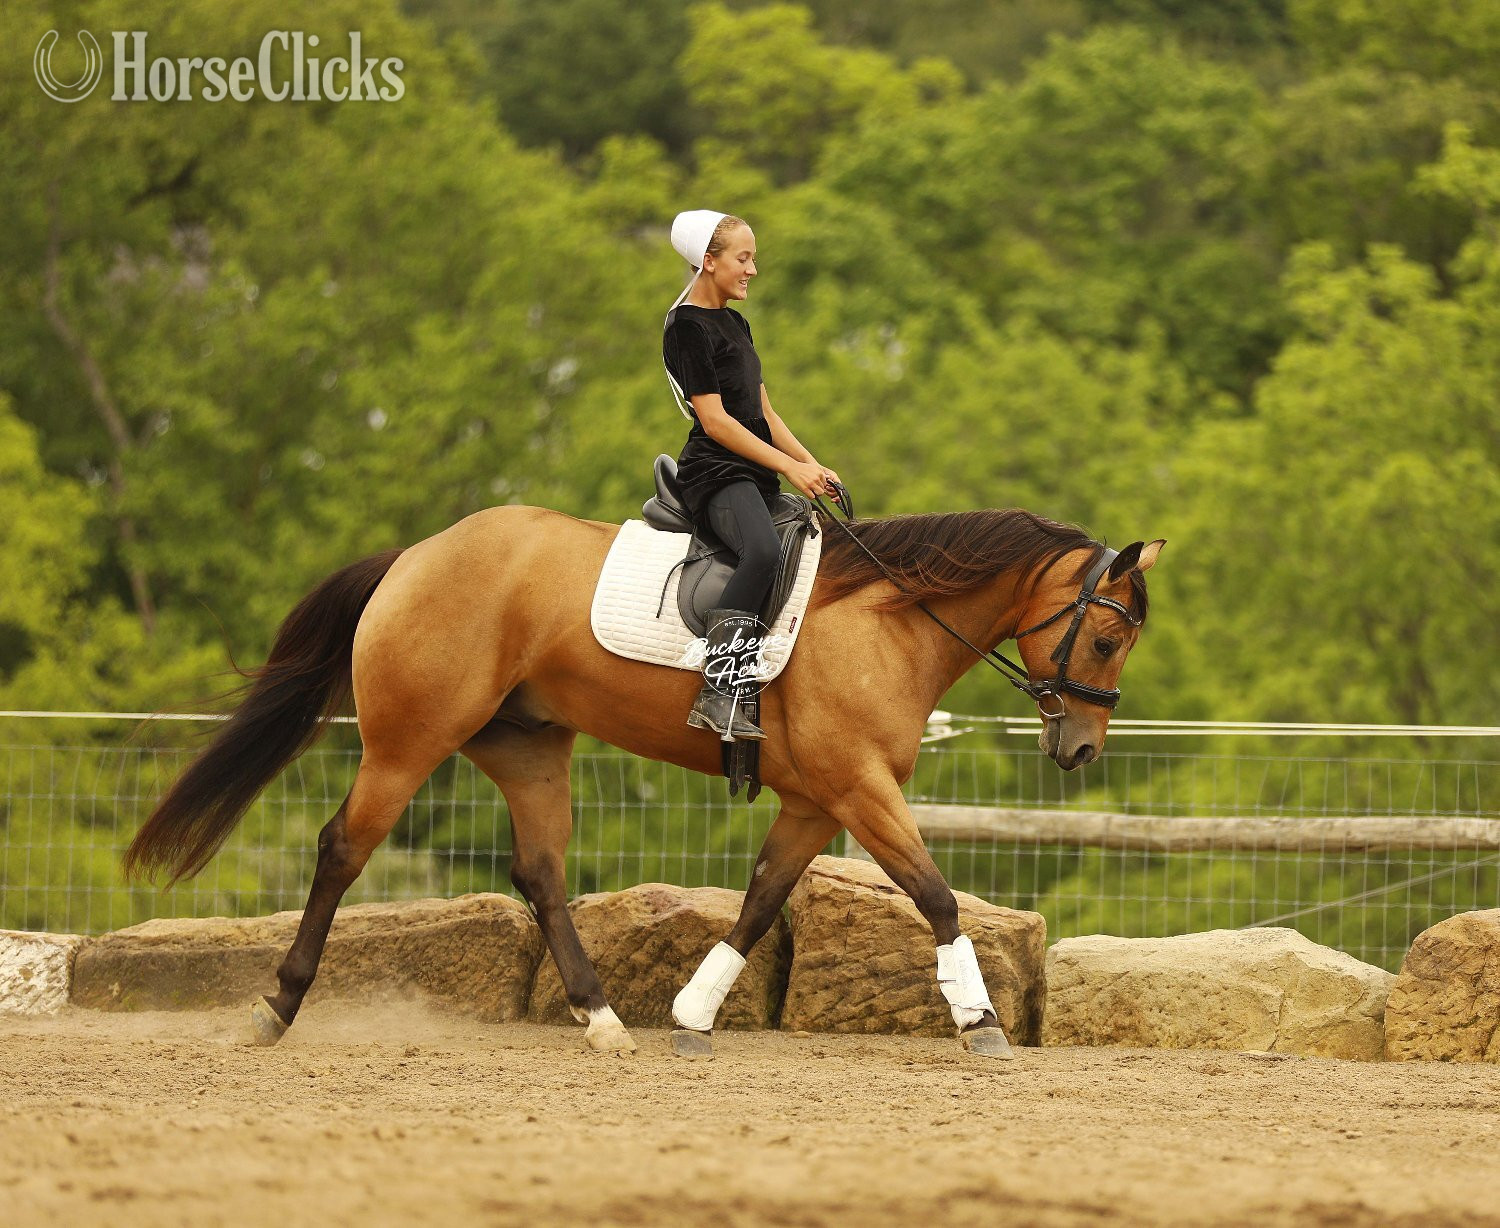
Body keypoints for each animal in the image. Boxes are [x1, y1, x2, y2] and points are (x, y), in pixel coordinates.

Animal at [124, 502, 1163, 1058]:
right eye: (1106, 640)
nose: (1080, 750)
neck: (886, 619)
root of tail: (416, 554)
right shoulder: (859, 789)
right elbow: (936, 896)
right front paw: (979, 1018)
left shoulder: (811, 801)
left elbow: (759, 904)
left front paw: (692, 1015)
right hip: (410, 740)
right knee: (343, 848)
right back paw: (275, 1007)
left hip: (529, 750)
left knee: (541, 876)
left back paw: (602, 1019)